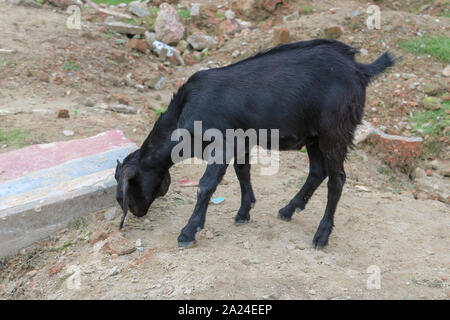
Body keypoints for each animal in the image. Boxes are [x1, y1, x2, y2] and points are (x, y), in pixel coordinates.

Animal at [114, 40, 396, 249]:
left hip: (334, 131)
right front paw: (244, 212)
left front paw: (188, 232)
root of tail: (360, 70)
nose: (135, 211)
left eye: (125, 189)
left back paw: (322, 234)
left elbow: (206, 185)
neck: (185, 110)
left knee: (337, 179)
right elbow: (243, 172)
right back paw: (289, 209)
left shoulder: (223, 142)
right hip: (314, 135)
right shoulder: (243, 140)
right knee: (318, 171)